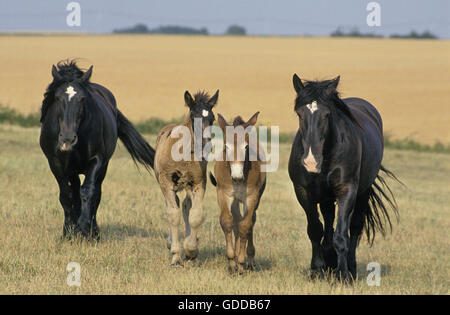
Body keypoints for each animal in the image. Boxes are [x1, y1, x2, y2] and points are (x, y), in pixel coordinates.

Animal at [40, 61, 156, 239]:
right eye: (58, 98)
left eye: (82, 99)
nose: (67, 139)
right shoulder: (55, 163)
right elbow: (66, 195)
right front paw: (68, 233)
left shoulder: (96, 160)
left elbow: (88, 192)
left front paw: (83, 229)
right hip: (72, 170)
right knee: (75, 190)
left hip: (103, 167)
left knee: (96, 194)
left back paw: (93, 232)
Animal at [288, 74, 398, 282]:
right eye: (299, 114)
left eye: (327, 114)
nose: (311, 162)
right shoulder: (303, 192)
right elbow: (315, 230)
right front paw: (317, 270)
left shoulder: (347, 191)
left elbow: (341, 235)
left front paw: (343, 275)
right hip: (326, 197)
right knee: (328, 221)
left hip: (362, 192)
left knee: (354, 227)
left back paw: (351, 268)